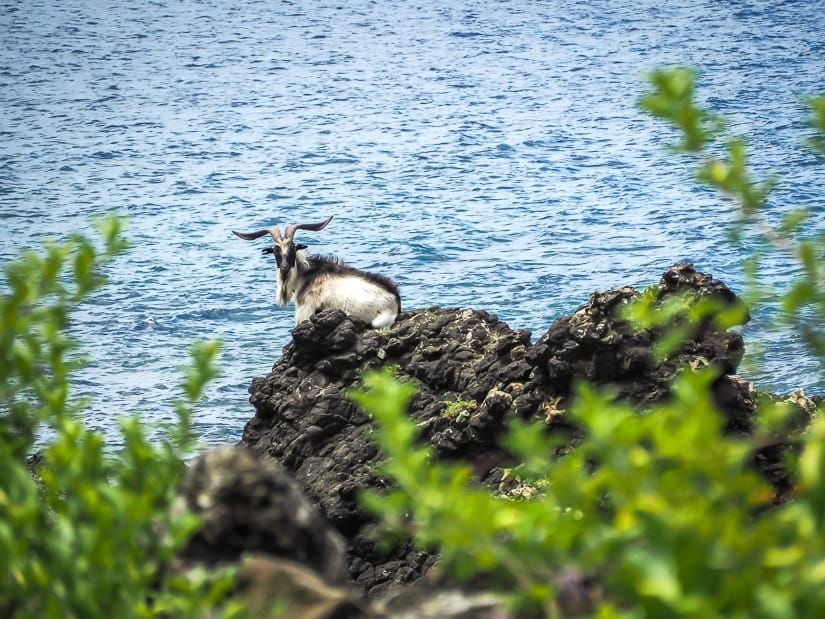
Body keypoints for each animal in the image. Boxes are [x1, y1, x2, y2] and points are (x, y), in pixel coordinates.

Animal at [230, 216, 400, 330]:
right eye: (275, 251)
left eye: (292, 249)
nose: (284, 267)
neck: (306, 274)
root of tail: (396, 303)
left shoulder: (306, 310)